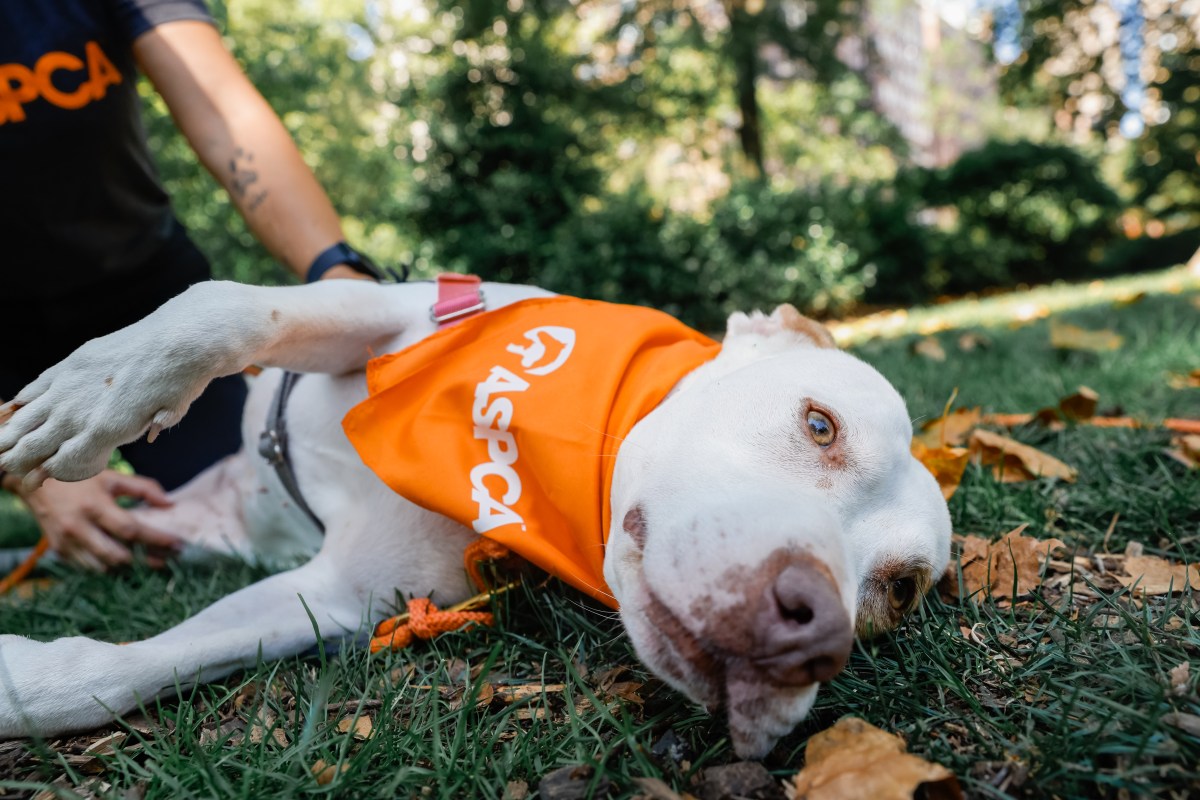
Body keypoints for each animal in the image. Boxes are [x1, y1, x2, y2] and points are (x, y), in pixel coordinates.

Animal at [2, 280, 955, 758]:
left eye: (898, 593)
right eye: (820, 425)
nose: (813, 633)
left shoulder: (339, 598)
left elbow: (145, 664)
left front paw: (26, 685)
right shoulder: (391, 313)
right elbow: (227, 305)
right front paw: (101, 392)